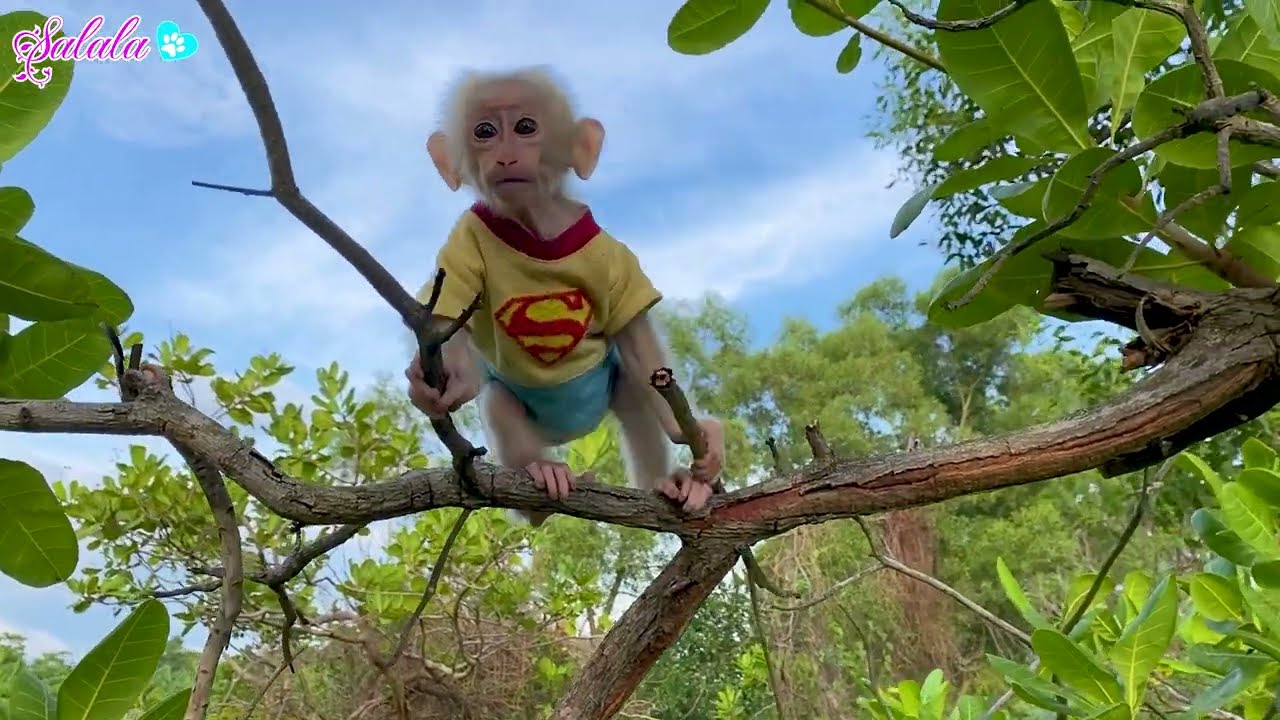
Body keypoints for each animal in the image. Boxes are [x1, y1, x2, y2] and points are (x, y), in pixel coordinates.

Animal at [404, 66, 725, 526]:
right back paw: (540, 478)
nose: (503, 156)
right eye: (484, 132)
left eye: (525, 127)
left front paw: (699, 437)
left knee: (634, 387)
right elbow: (450, 312)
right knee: (499, 401)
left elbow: (638, 343)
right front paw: (440, 382)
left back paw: (666, 483)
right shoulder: (467, 231)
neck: (537, 225)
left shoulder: (616, 258)